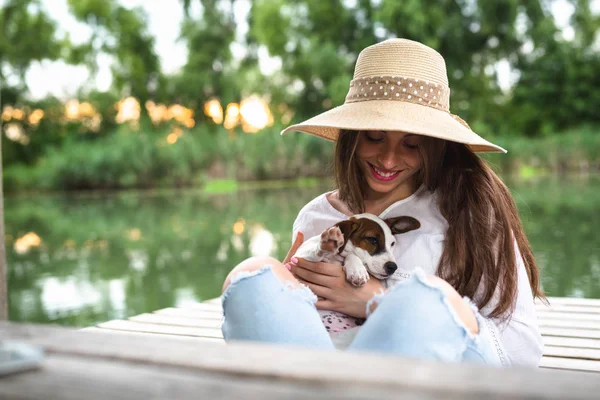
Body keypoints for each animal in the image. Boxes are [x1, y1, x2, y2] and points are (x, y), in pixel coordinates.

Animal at [292, 214, 420, 332]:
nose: (393, 267)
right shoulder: (298, 260)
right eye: (372, 239)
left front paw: (356, 269)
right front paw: (329, 244)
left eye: (392, 243)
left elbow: (351, 255)